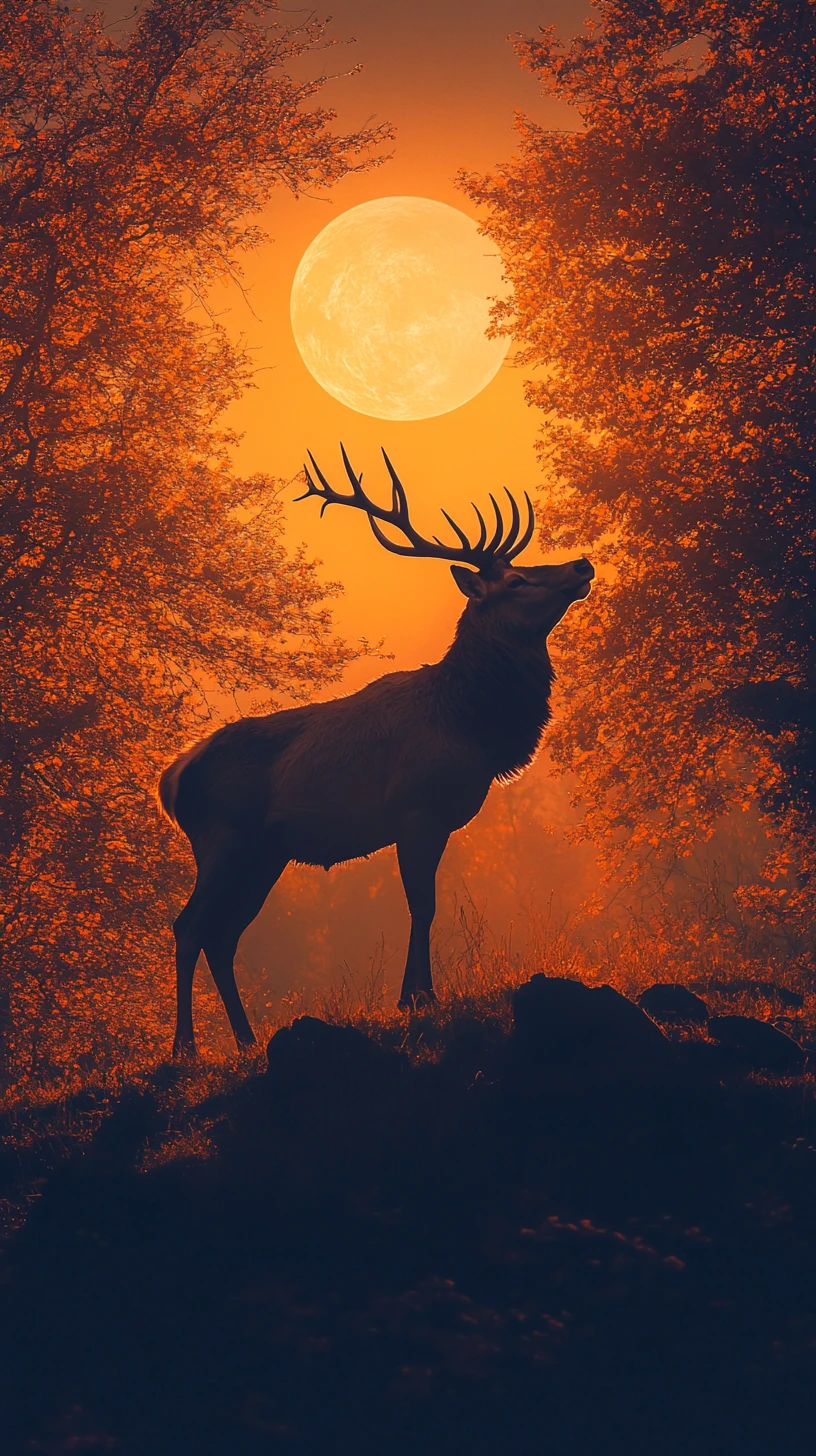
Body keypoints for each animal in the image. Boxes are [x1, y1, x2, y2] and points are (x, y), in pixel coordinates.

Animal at [159, 447, 594, 1057]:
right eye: (515, 580)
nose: (581, 565)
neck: (470, 726)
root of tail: (173, 779)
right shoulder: (416, 808)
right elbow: (421, 903)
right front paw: (417, 998)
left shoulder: (434, 820)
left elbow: (424, 902)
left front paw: (417, 995)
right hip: (222, 838)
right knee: (189, 925)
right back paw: (185, 1048)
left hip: (266, 853)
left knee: (223, 935)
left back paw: (246, 1039)